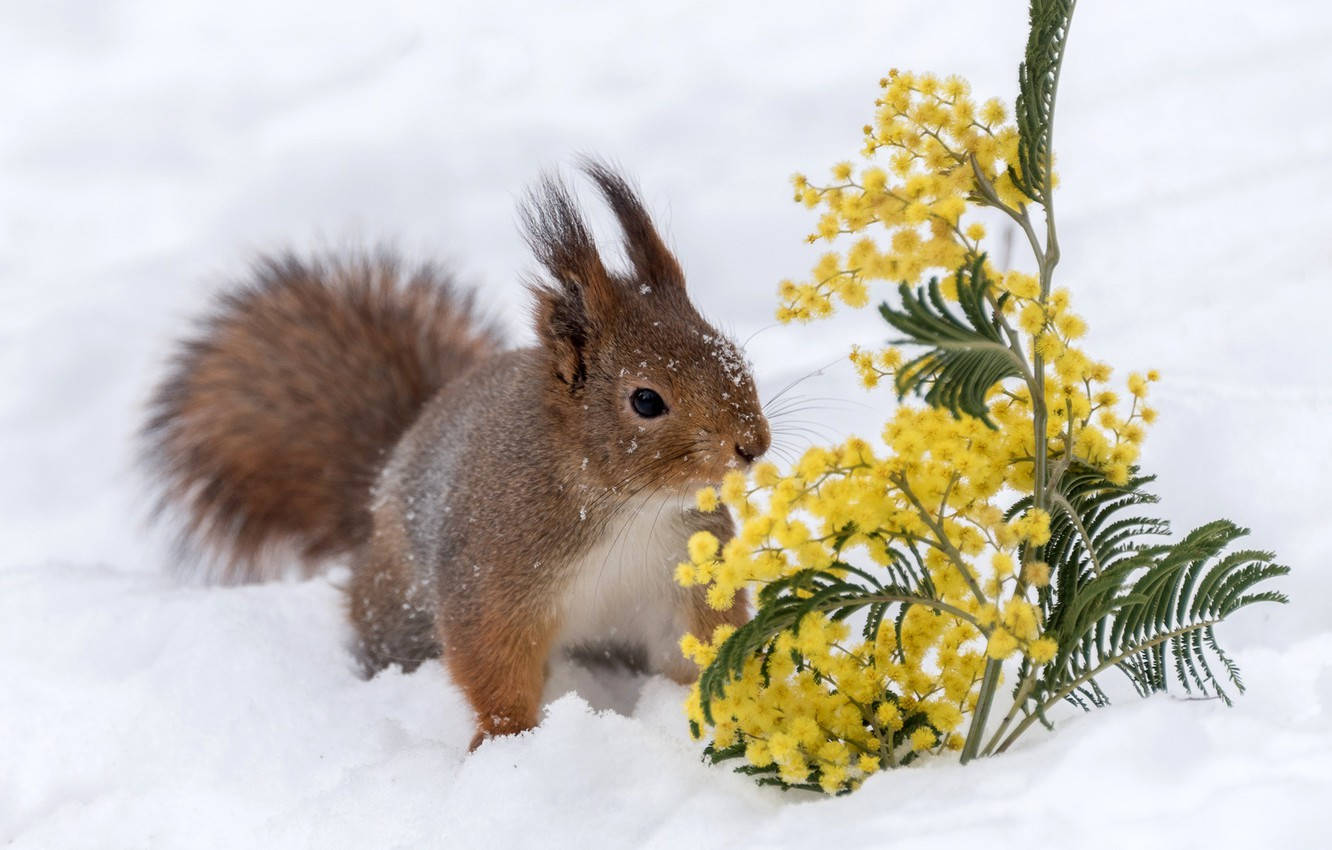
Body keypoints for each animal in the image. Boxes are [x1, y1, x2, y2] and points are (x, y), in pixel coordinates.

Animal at [144, 163, 772, 751]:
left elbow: (696, 643)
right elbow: (490, 660)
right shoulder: (491, 572)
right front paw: (507, 741)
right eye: (646, 400)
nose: (753, 445)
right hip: (400, 611)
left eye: (733, 353)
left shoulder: (682, 577)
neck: (626, 507)